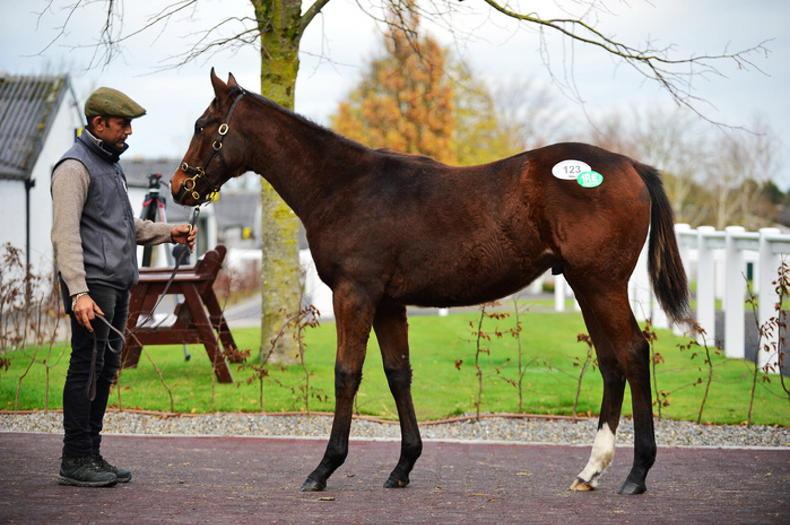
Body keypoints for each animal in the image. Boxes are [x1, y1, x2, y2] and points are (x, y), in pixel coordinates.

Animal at [171, 69, 689, 495]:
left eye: (202, 124)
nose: (179, 187)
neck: (344, 186)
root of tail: (630, 166)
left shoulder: (355, 295)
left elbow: (347, 373)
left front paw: (324, 468)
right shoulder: (387, 302)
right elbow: (398, 373)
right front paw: (403, 466)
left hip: (602, 284)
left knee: (633, 353)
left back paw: (637, 473)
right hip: (586, 286)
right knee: (611, 362)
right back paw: (591, 470)